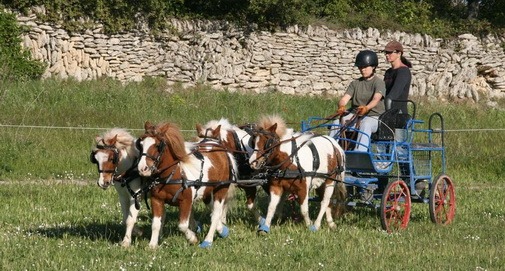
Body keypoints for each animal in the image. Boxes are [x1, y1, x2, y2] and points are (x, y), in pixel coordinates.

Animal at [135, 122, 235, 250]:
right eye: (141, 144)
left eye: (158, 145)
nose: (142, 169)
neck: (173, 175)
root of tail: (216, 144)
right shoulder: (156, 200)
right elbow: (156, 224)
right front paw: (152, 245)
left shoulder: (186, 201)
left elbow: (182, 225)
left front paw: (192, 238)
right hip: (206, 191)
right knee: (212, 210)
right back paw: (222, 230)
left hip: (221, 189)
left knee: (216, 214)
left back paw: (208, 240)